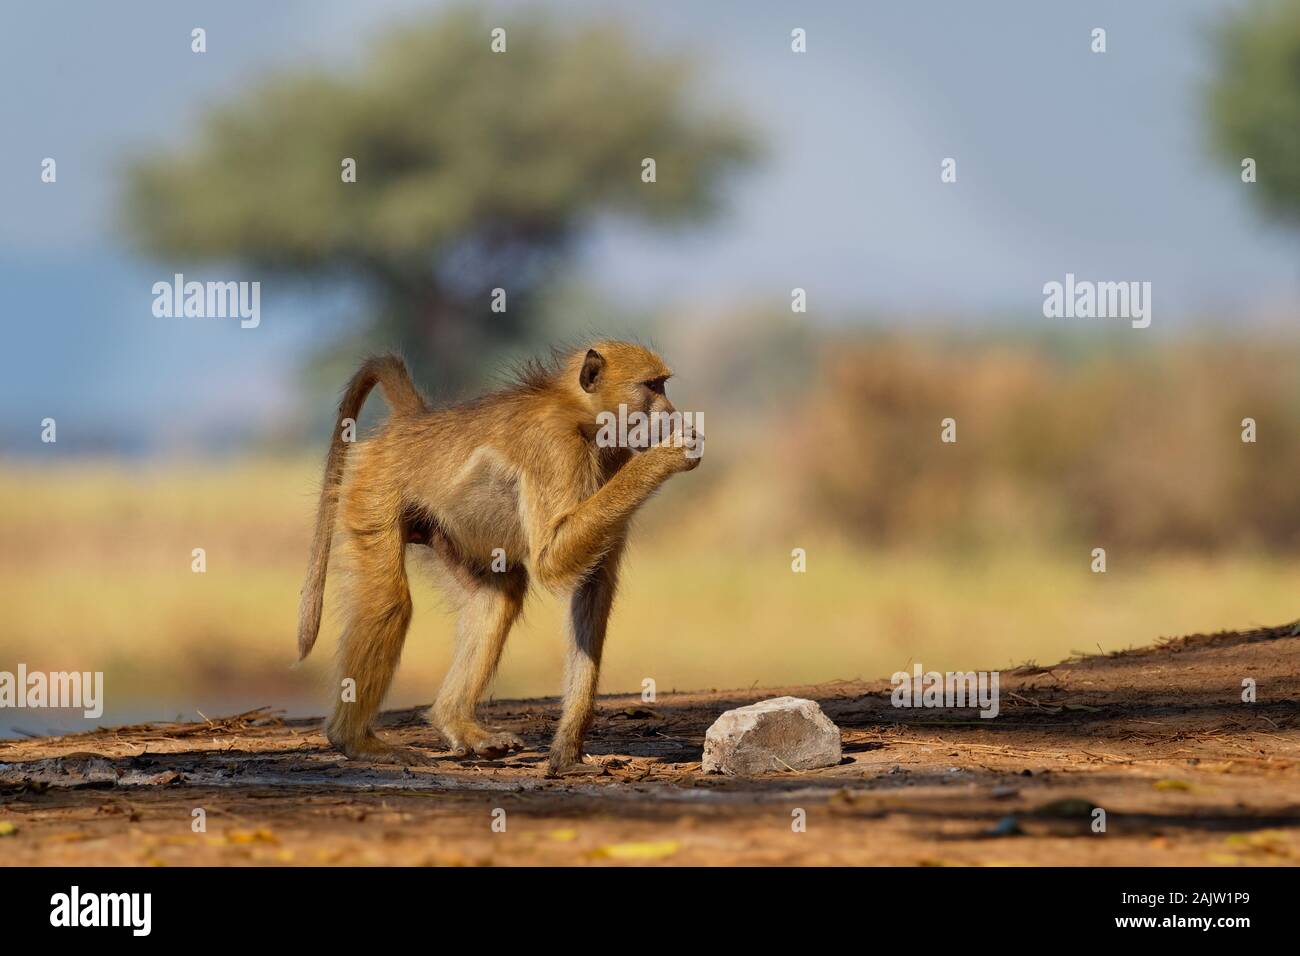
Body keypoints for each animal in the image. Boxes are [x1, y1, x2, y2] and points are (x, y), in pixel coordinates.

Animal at [297, 342, 702, 776]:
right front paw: (669, 454)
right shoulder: (554, 448)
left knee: (498, 596)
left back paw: (454, 722)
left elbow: (593, 589)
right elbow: (551, 561)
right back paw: (355, 740)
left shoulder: (614, 459)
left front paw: (567, 754)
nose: (673, 414)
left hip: (446, 527)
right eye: (652, 386)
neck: (580, 416)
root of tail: (413, 422)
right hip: (375, 487)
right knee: (389, 603)